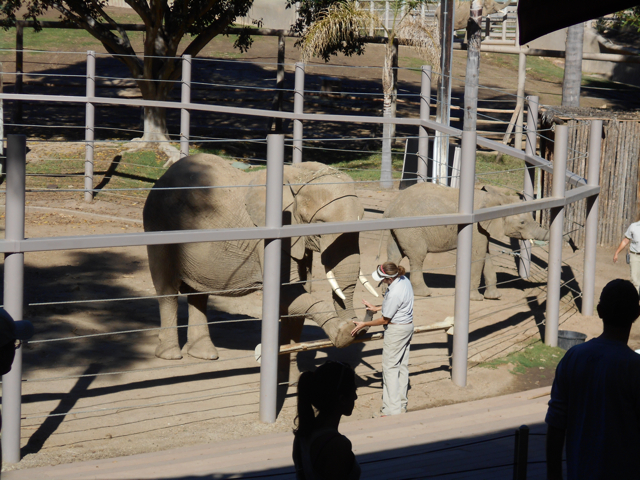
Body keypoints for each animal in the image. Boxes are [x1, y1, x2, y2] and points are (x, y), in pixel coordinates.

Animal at [143, 154, 377, 360]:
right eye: (319, 225)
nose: (359, 327)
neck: (296, 175)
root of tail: (161, 178)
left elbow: (301, 291)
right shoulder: (268, 237)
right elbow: (288, 292)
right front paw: (343, 333)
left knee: (199, 293)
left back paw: (204, 354)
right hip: (159, 223)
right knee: (167, 289)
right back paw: (171, 355)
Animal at [383, 182, 550, 301]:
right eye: (522, 222)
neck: (497, 198)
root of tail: (391, 206)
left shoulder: (483, 229)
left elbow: (486, 256)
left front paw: (494, 297)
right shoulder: (476, 227)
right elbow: (478, 256)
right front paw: (476, 299)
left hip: (397, 230)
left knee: (394, 254)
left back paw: (386, 289)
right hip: (411, 230)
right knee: (417, 257)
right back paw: (424, 293)